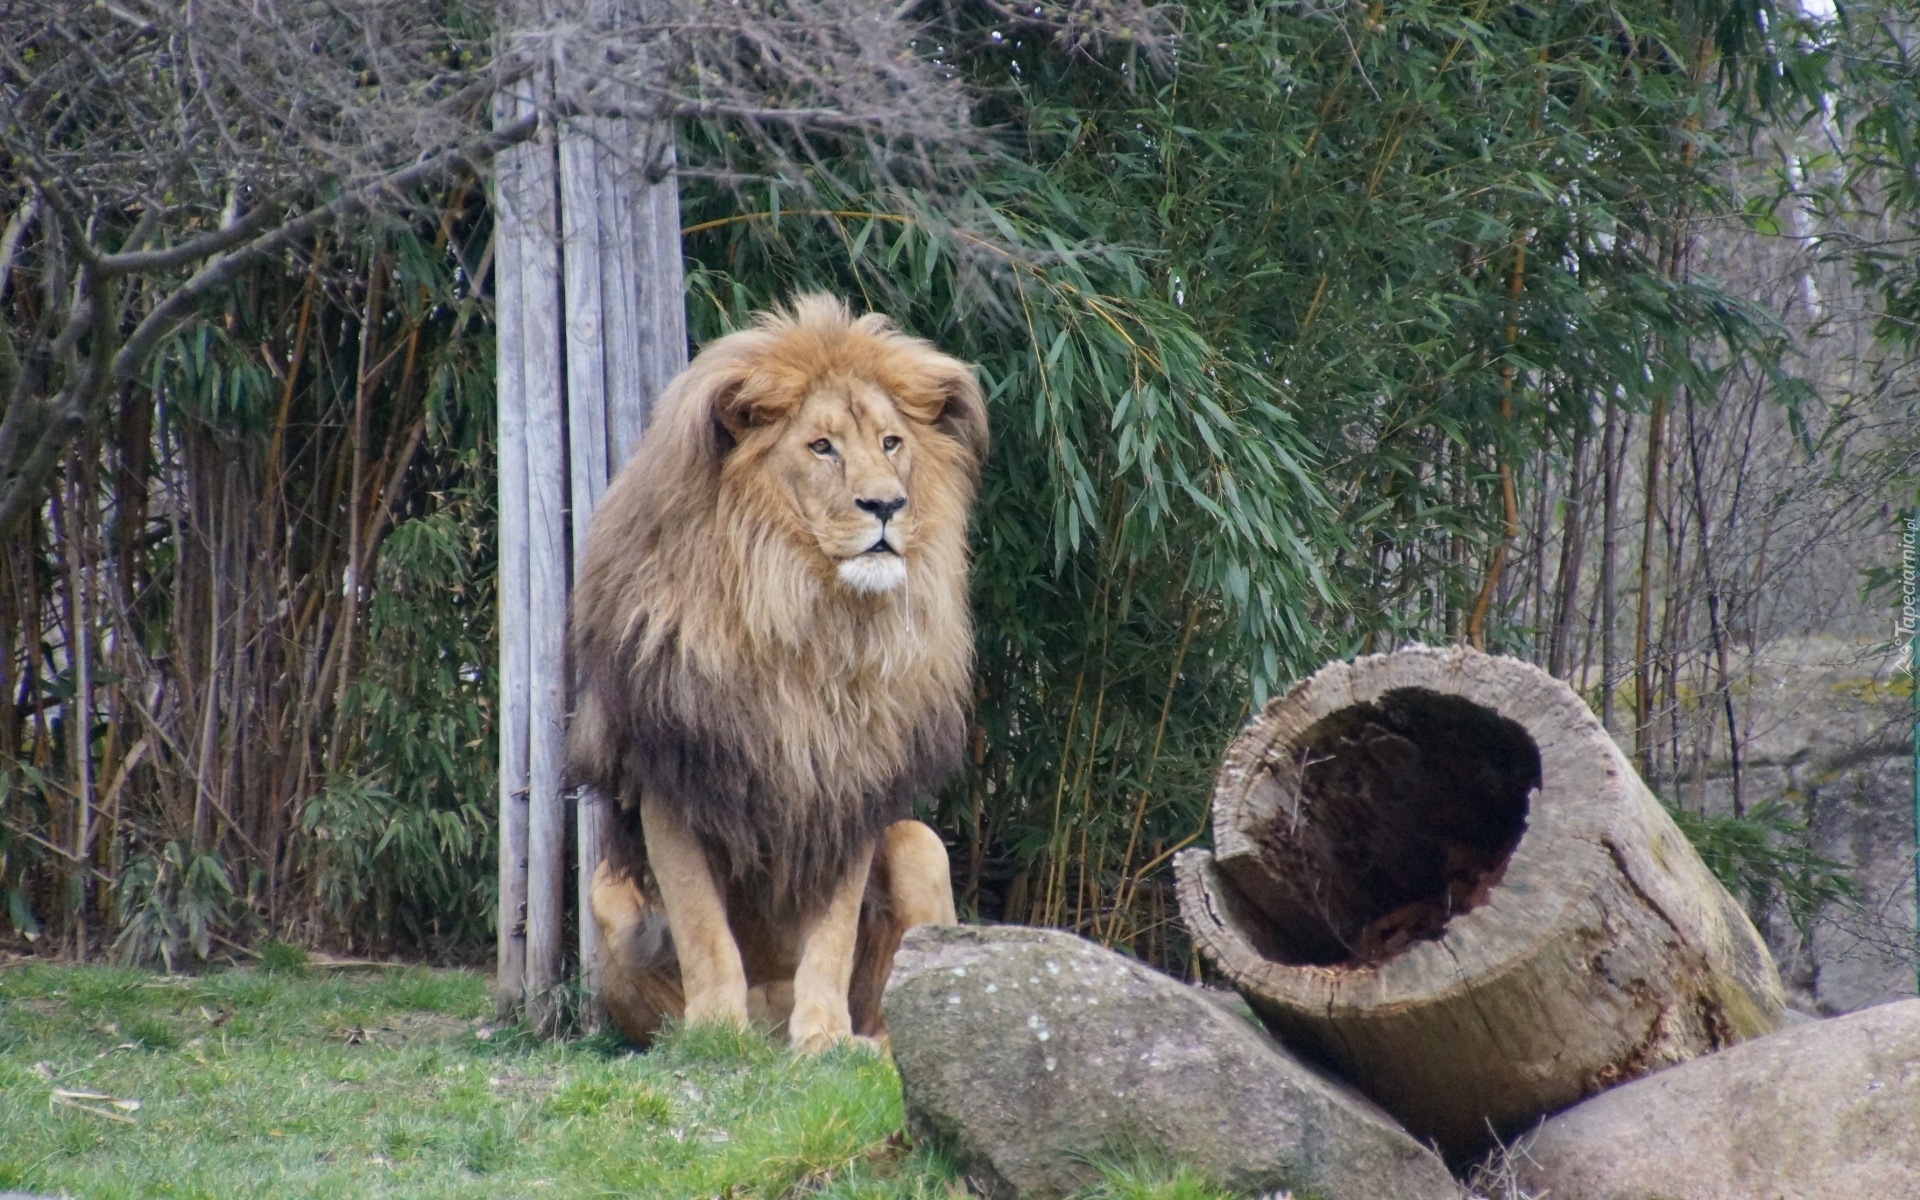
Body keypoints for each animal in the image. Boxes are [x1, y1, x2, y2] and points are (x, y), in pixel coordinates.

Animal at [564, 295, 990, 1052]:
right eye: (821, 447)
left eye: (891, 443)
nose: (887, 505)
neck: (802, 611)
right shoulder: (672, 775)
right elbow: (703, 925)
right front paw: (714, 1035)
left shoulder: (847, 782)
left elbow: (832, 932)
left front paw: (822, 1038)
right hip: (608, 891)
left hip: (920, 845)